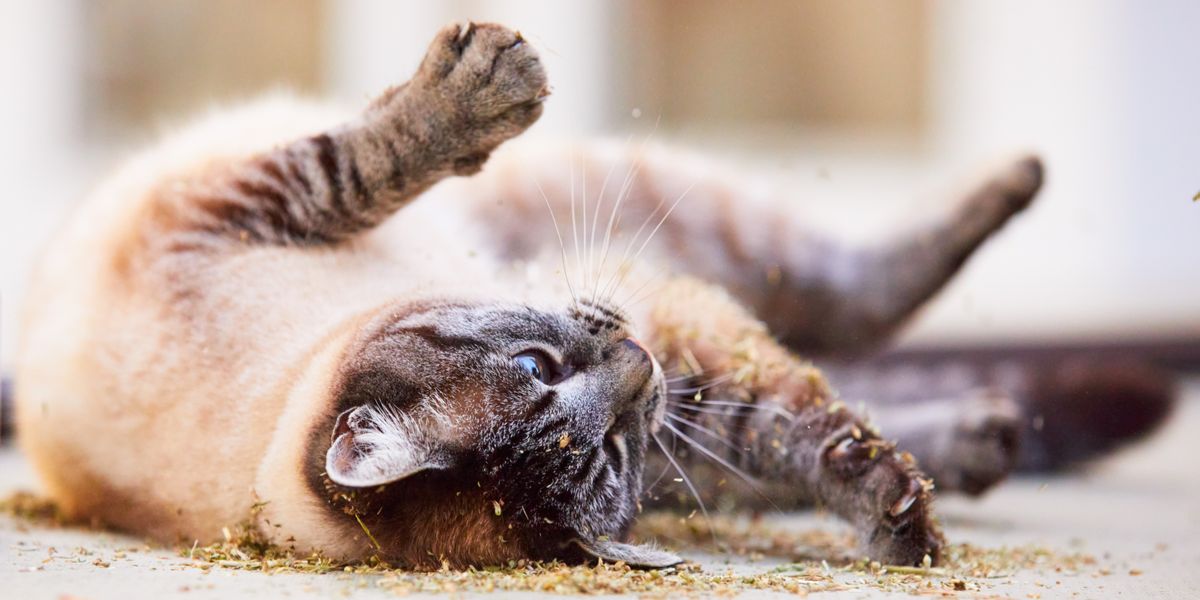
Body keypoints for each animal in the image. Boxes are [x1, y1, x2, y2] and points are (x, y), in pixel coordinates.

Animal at [16, 22, 1070, 566]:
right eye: (610, 453)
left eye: (538, 362)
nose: (637, 367)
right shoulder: (678, 400)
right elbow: (798, 437)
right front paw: (900, 519)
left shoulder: (235, 205)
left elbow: (358, 160)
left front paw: (480, 86)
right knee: (855, 306)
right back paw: (985, 430)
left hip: (654, 213)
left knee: (845, 288)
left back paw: (1020, 192)